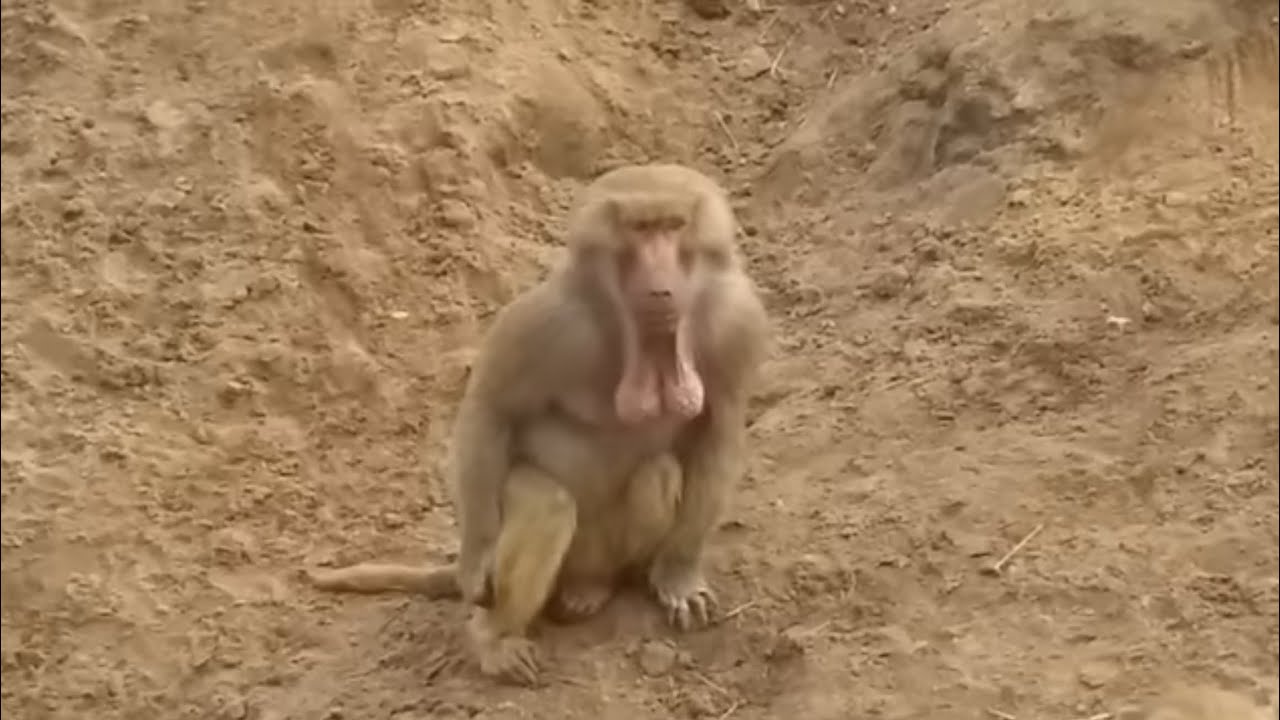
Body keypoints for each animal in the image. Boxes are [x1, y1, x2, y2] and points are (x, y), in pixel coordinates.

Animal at [306, 163, 770, 686]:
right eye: (639, 229)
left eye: (674, 226)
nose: (660, 288)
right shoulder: (551, 320)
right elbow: (491, 409)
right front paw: (477, 559)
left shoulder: (737, 325)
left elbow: (719, 432)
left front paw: (679, 576)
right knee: (545, 504)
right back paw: (494, 638)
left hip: (611, 552)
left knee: (659, 472)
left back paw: (593, 588)